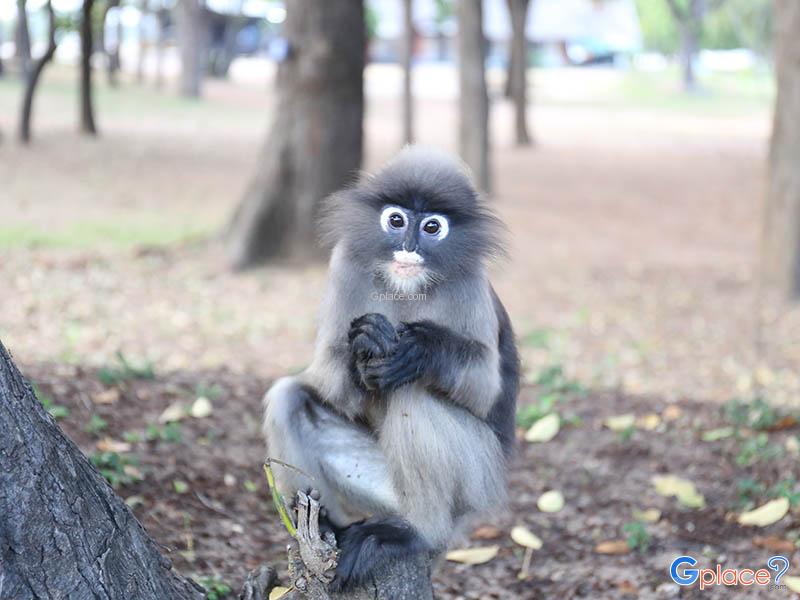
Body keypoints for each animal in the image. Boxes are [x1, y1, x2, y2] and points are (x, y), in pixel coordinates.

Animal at [263, 146, 519, 591]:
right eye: (396, 220)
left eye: (432, 226)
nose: (409, 247)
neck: (405, 288)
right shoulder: (344, 262)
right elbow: (327, 376)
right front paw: (362, 348)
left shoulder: (469, 281)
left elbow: (485, 387)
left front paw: (421, 349)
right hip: (384, 488)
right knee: (288, 395)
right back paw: (327, 525)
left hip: (478, 481)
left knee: (413, 395)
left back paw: (412, 532)